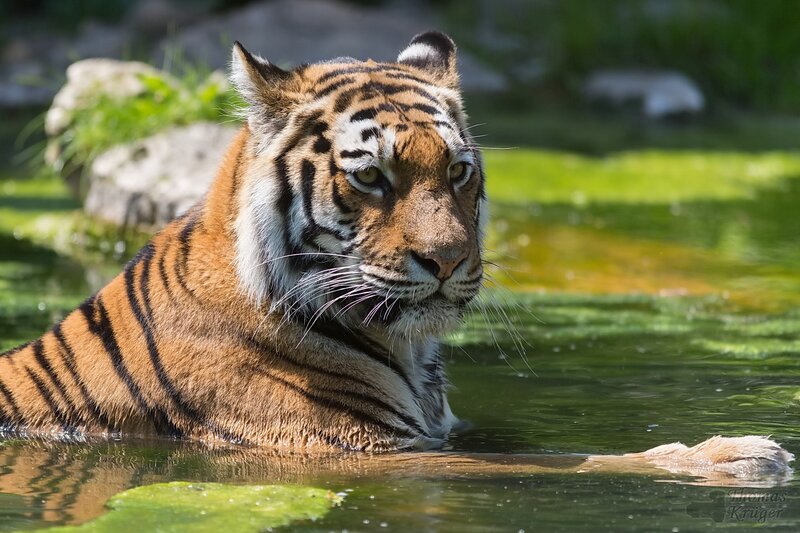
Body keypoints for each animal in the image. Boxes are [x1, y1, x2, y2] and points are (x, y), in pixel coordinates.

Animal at [0, 31, 792, 477]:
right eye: (371, 177)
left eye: (459, 171)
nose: (446, 261)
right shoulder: (361, 448)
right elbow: (575, 461)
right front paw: (739, 455)